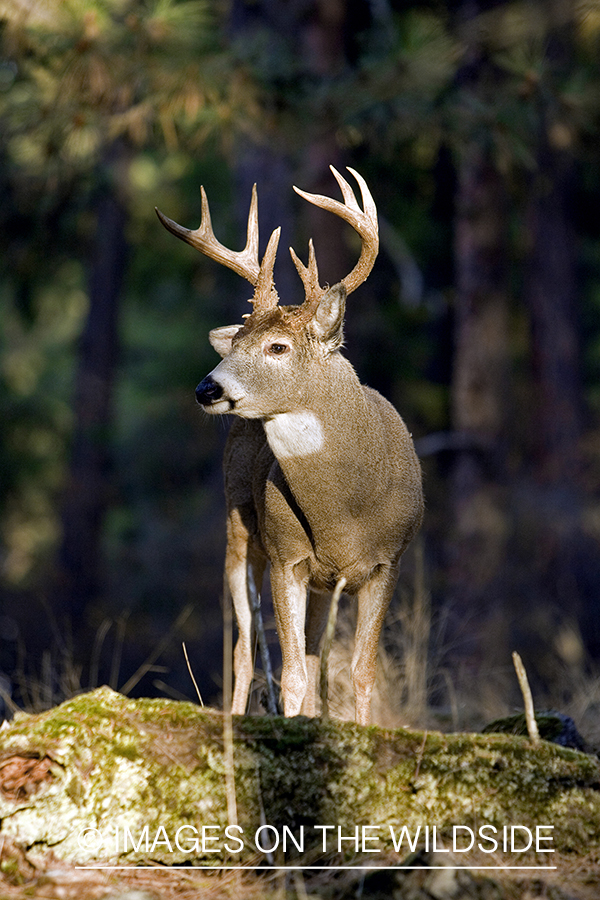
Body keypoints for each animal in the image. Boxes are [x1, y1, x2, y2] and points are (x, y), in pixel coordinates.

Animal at [157, 165, 424, 724]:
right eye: (236, 342)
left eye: (278, 347)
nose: (207, 388)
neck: (345, 512)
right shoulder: (286, 556)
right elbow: (292, 672)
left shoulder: (387, 562)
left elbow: (358, 672)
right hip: (239, 532)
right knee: (244, 649)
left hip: (325, 586)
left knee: (316, 653)